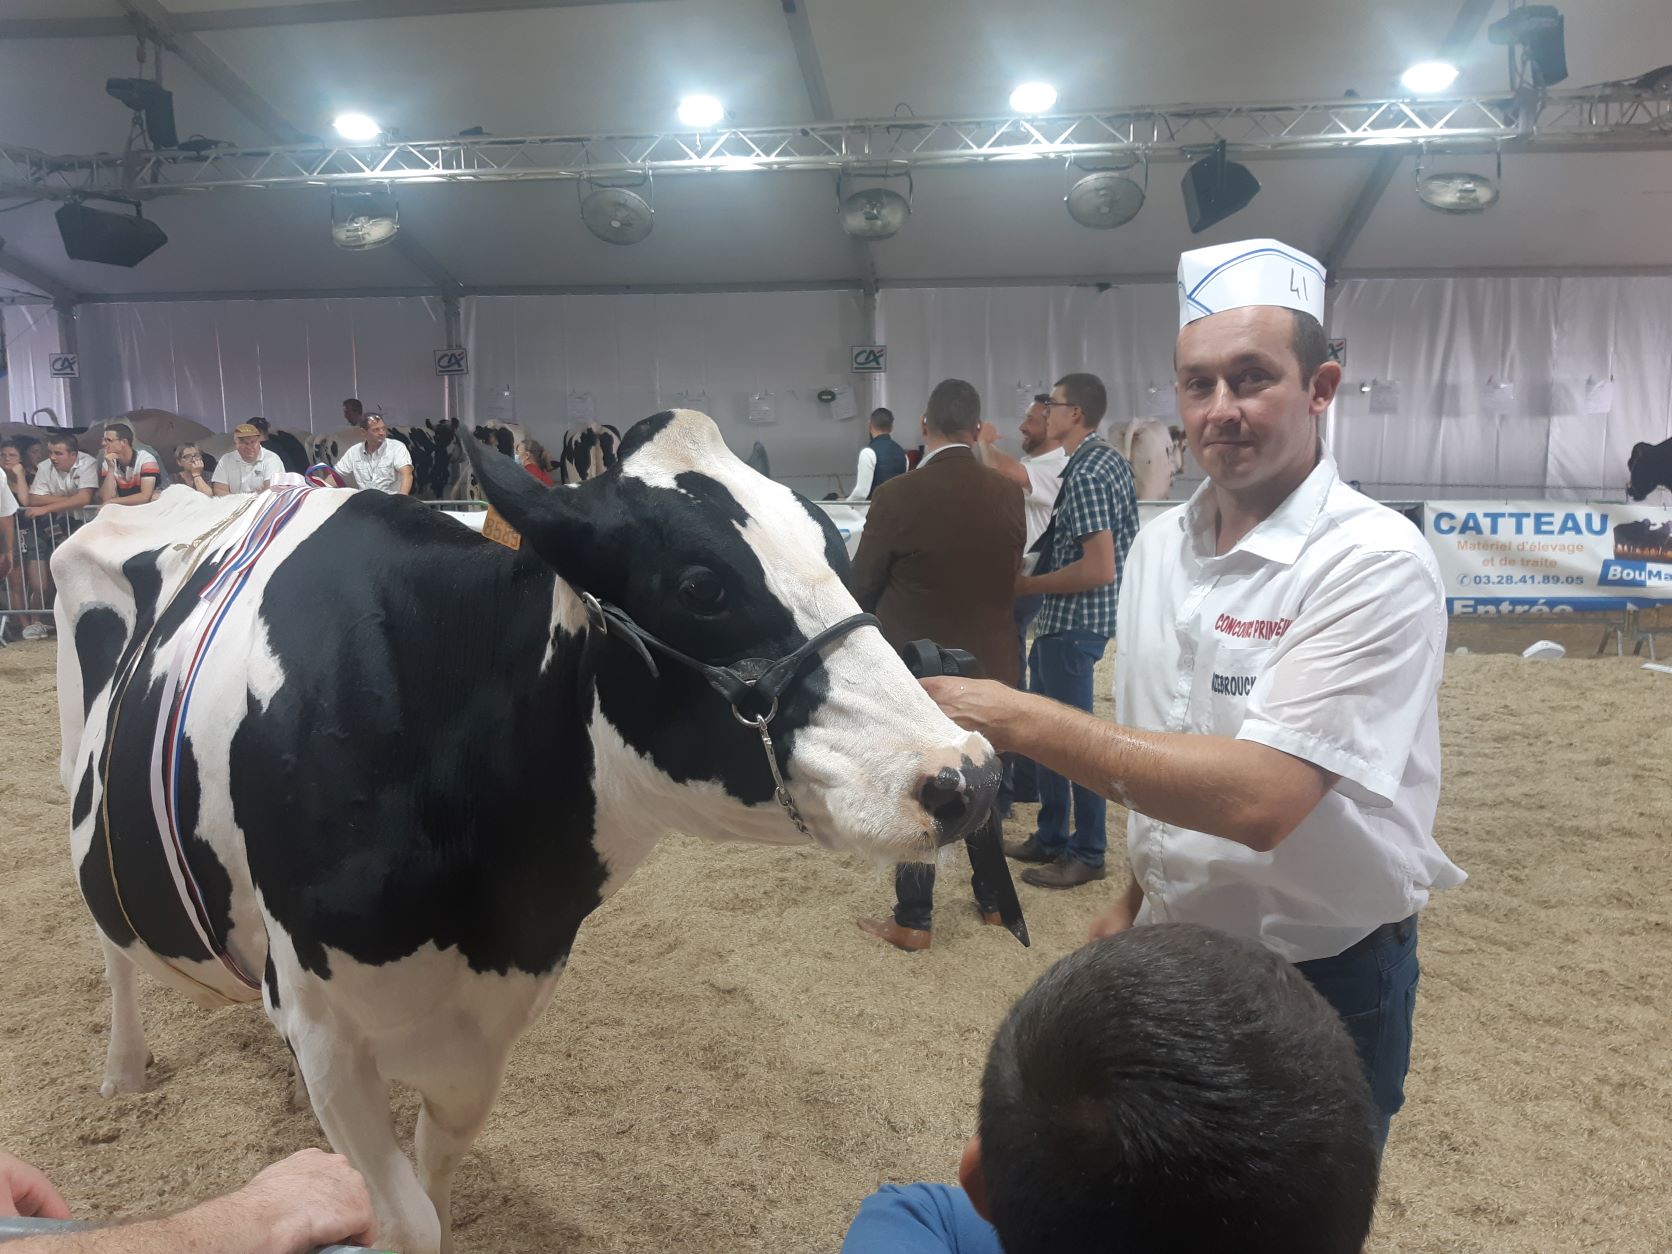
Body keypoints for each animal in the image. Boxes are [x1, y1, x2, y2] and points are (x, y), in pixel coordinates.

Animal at [52, 412, 996, 1254]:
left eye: (837, 551)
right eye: (700, 586)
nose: (970, 773)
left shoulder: (489, 1021)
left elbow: (435, 1186)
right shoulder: (328, 1027)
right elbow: (406, 1218)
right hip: (80, 784)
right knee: (107, 942)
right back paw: (122, 1071)